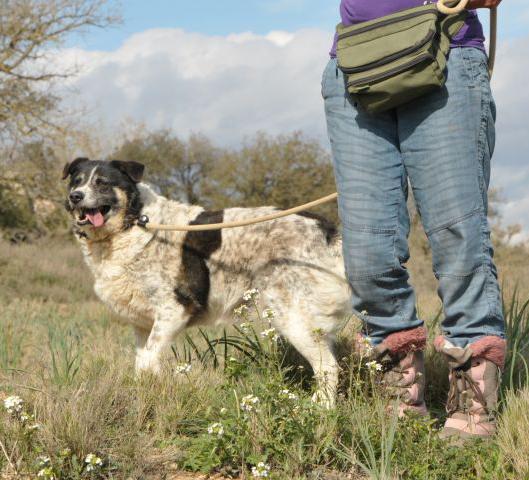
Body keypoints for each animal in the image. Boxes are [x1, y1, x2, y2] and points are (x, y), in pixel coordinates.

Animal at [63, 159, 350, 404]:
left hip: (293, 318)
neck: (134, 223)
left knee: (328, 366)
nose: (75, 196)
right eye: (76, 181)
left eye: (102, 182)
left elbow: (147, 361)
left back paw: (320, 410)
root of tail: (326, 231)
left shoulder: (174, 310)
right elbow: (143, 364)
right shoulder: (143, 325)